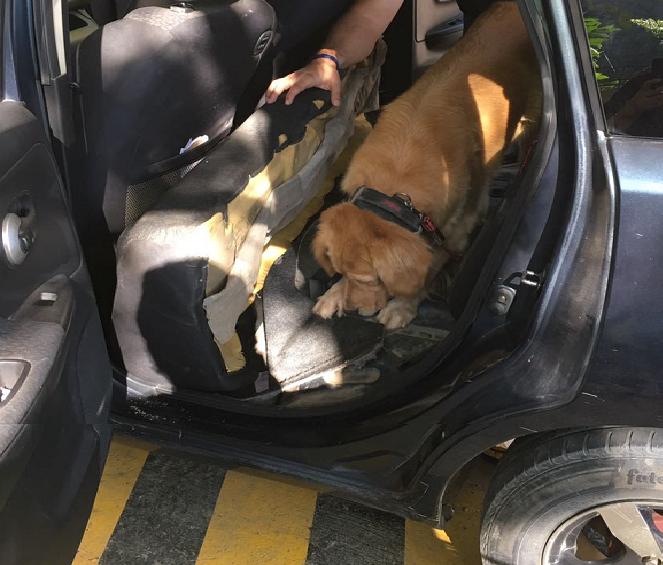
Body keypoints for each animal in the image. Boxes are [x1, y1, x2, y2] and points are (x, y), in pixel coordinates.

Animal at [312, 1, 540, 329]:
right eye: (341, 272)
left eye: (372, 280)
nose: (355, 309)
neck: (395, 188)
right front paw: (334, 295)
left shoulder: (450, 236)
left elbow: (425, 274)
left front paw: (401, 307)